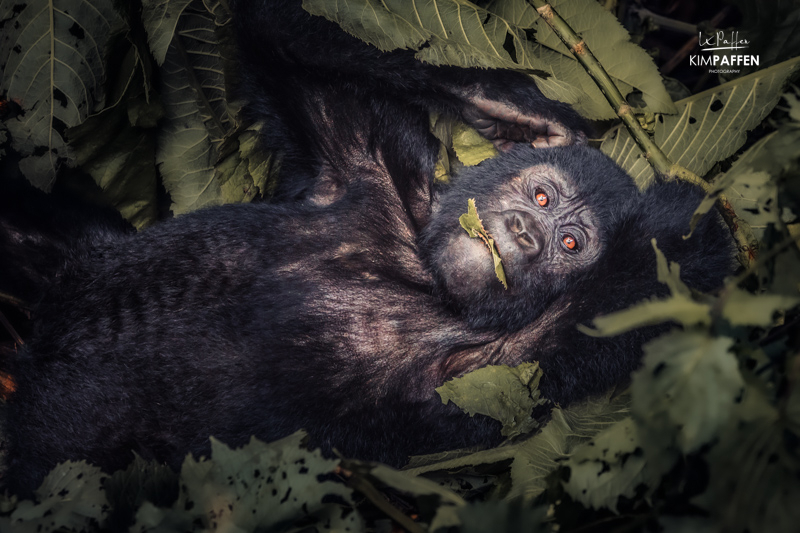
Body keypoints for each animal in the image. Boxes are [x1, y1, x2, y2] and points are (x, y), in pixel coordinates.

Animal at [0, 1, 736, 498]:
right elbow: (286, 34)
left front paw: (689, 213)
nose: (527, 232)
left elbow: (638, 300)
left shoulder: (495, 369)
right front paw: (523, 112)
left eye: (571, 242)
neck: (414, 271)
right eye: (543, 195)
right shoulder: (369, 161)